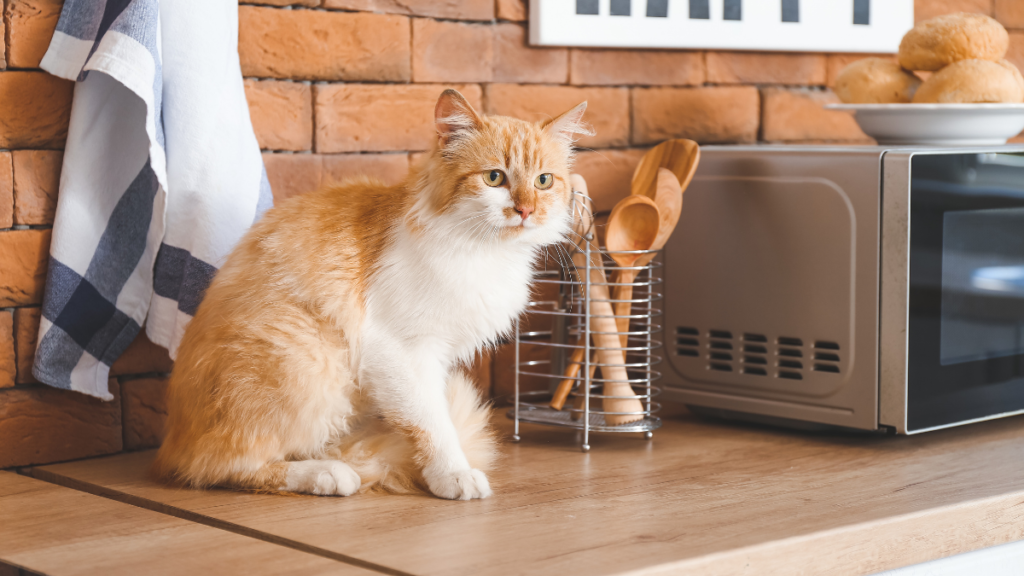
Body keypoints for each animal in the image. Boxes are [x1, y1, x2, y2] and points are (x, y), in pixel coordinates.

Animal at [148, 88, 589, 498]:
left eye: (543, 181)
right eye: (494, 177)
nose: (526, 210)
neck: (485, 252)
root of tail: (170, 442)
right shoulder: (402, 352)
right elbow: (434, 424)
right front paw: (453, 474)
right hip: (311, 357)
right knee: (221, 464)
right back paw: (328, 474)